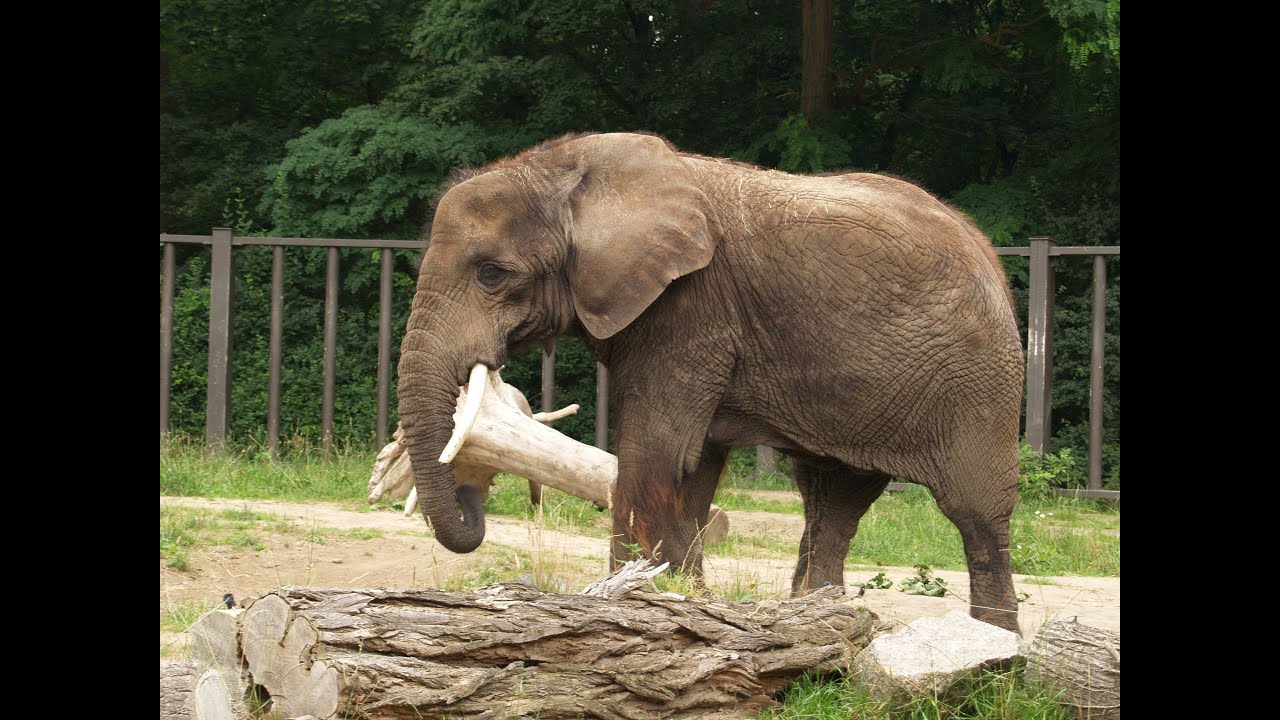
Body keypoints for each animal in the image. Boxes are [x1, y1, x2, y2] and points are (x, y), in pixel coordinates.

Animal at [394, 130, 1024, 627]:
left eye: (492, 274)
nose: (470, 497)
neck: (566, 172)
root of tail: (986, 250)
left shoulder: (690, 306)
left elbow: (654, 452)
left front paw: (639, 598)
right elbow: (691, 468)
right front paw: (683, 595)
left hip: (979, 379)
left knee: (976, 515)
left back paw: (997, 649)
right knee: (834, 500)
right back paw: (817, 610)